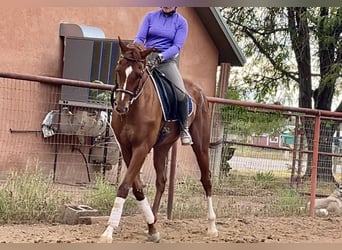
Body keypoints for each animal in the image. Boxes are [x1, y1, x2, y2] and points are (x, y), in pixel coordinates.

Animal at [99, 36, 218, 242]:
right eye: (118, 70)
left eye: (139, 74)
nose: (121, 107)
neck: (135, 107)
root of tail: (200, 91)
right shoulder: (127, 148)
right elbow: (137, 187)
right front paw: (152, 228)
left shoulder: (142, 147)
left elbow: (124, 186)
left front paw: (108, 231)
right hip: (162, 147)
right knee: (161, 181)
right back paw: (152, 221)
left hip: (200, 145)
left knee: (206, 178)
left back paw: (212, 226)